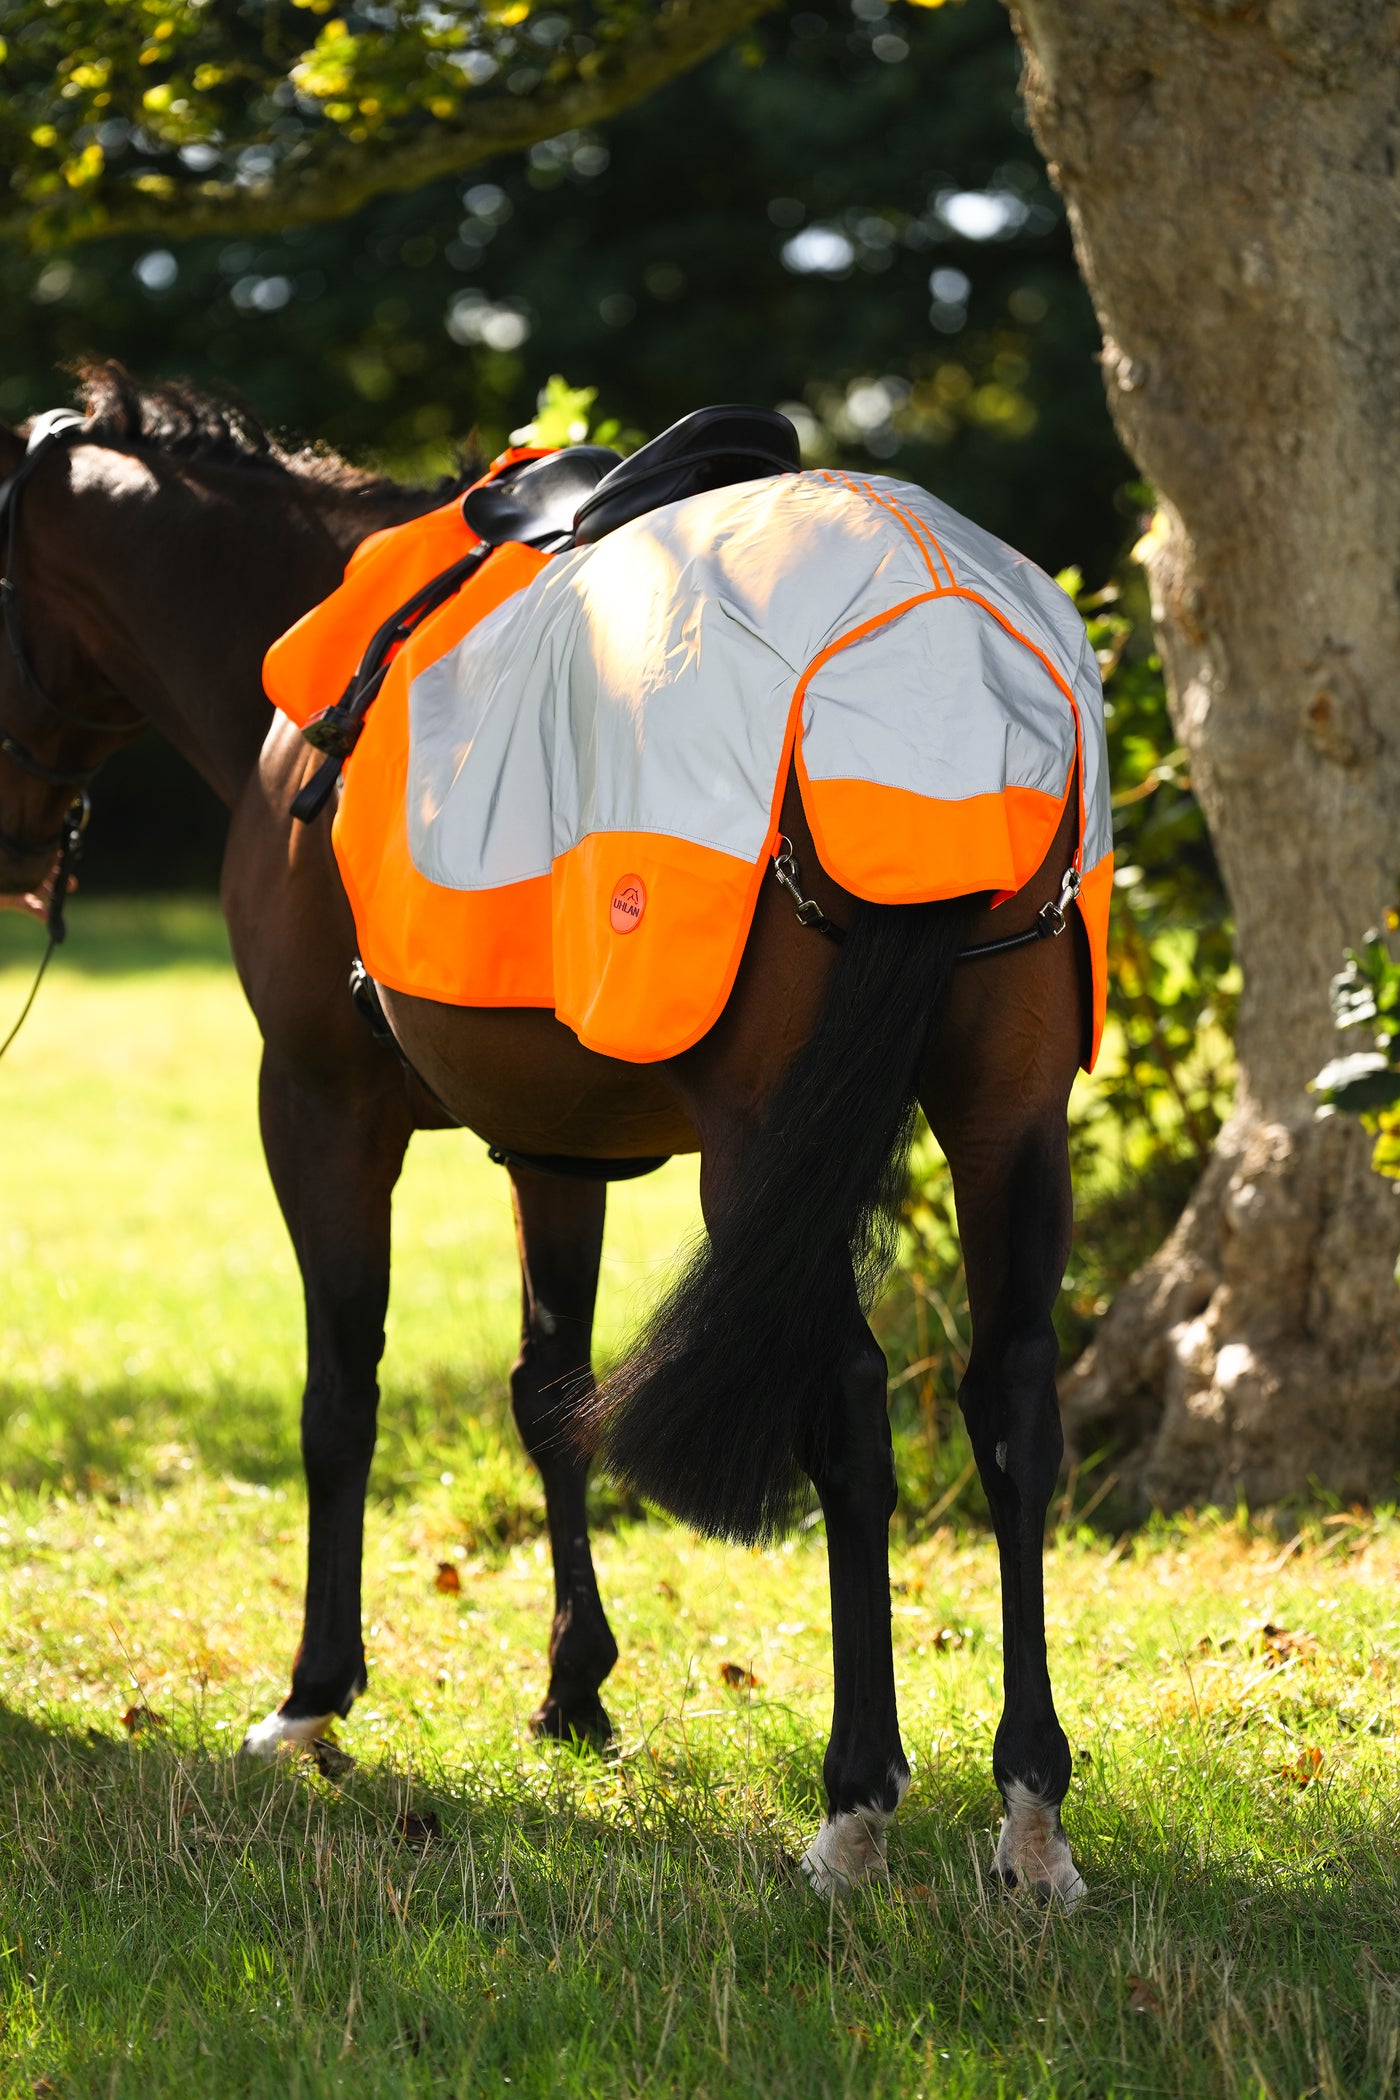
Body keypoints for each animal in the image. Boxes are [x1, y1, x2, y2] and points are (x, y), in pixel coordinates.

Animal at [0, 368, 1092, 1902]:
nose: (17, 855)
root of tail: (936, 673)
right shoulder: (555, 1147)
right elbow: (550, 1392)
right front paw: (576, 1687)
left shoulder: (316, 1106)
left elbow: (339, 1398)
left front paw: (313, 1697)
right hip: (1008, 1128)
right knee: (1014, 1406)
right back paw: (1031, 1805)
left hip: (764, 1156)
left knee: (851, 1409)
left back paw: (854, 1803)